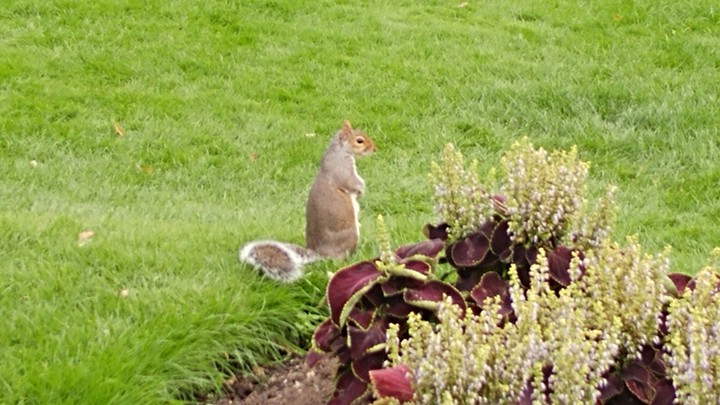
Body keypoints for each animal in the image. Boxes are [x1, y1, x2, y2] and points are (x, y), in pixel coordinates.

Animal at [239, 120, 376, 283]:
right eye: (359, 140)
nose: (374, 149)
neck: (339, 150)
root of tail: (320, 253)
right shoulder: (342, 169)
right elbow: (352, 182)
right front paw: (362, 190)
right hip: (350, 234)